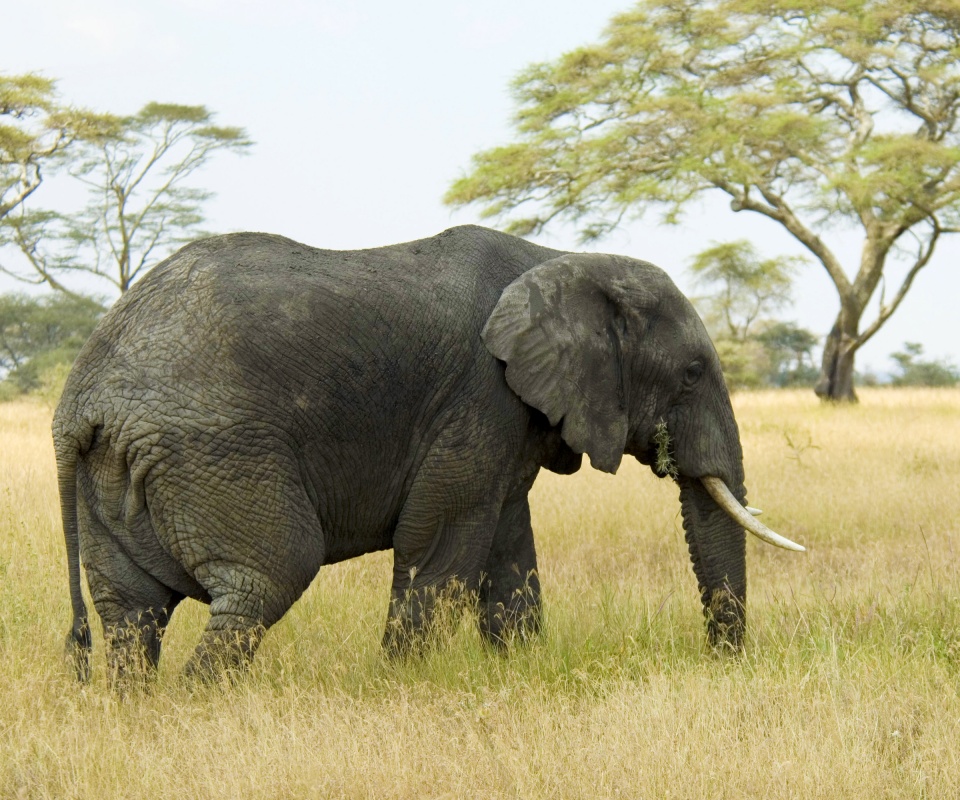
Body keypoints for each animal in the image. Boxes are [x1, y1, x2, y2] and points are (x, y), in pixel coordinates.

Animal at [54, 224, 802, 683]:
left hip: (118, 471)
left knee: (132, 613)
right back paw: (201, 705)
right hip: (214, 450)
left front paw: (518, 672)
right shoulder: (479, 395)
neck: (560, 259)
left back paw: (140, 711)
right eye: (692, 374)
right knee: (267, 577)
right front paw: (400, 683)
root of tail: (81, 398)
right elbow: (440, 540)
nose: (722, 662)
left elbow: (506, 545)